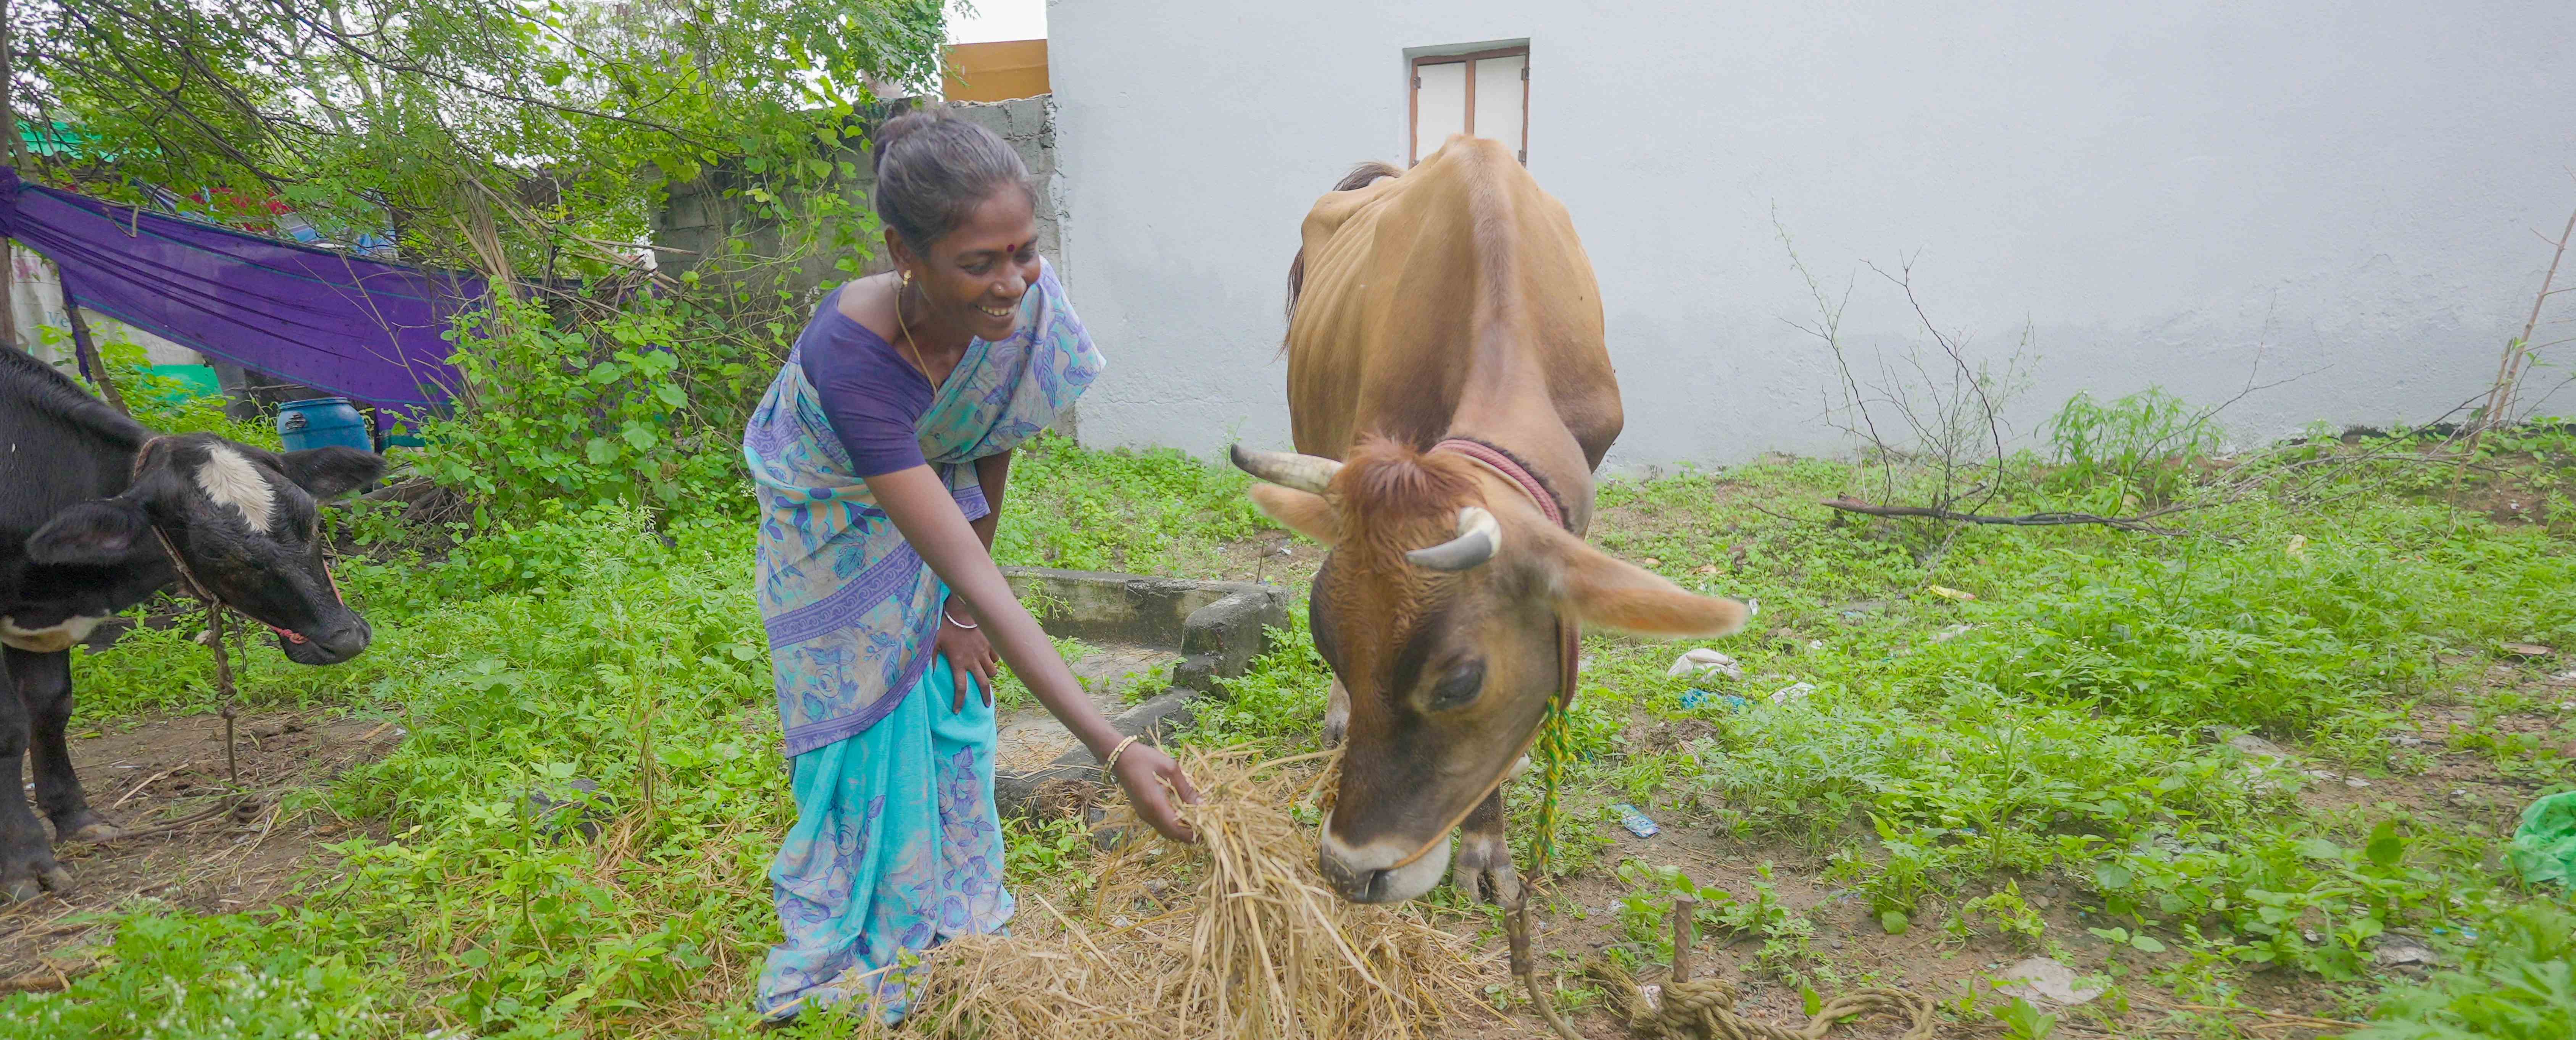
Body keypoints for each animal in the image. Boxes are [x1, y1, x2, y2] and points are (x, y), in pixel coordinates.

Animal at [1, 344, 381, 901]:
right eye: (218, 553)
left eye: (313, 519)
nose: (346, 638)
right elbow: (10, 726)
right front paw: (25, 862)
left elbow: (51, 708)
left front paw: (77, 819)